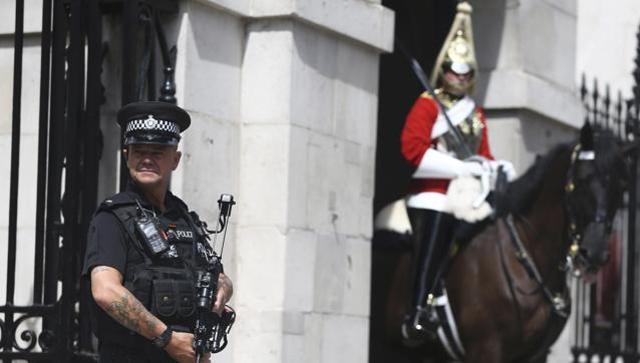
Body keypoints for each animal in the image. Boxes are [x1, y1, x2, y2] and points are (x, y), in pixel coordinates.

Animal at [370, 123, 632, 362]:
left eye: (621, 186)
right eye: (583, 179)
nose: (595, 252)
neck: (527, 258)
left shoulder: (535, 355)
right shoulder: (487, 349)